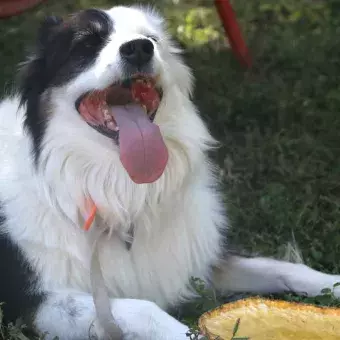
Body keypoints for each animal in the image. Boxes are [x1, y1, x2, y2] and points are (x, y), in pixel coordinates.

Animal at [0, 5, 340, 340]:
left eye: (152, 39)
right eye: (86, 44)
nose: (139, 48)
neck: (122, 192)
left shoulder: (201, 256)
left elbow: (283, 268)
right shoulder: (36, 303)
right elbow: (143, 309)